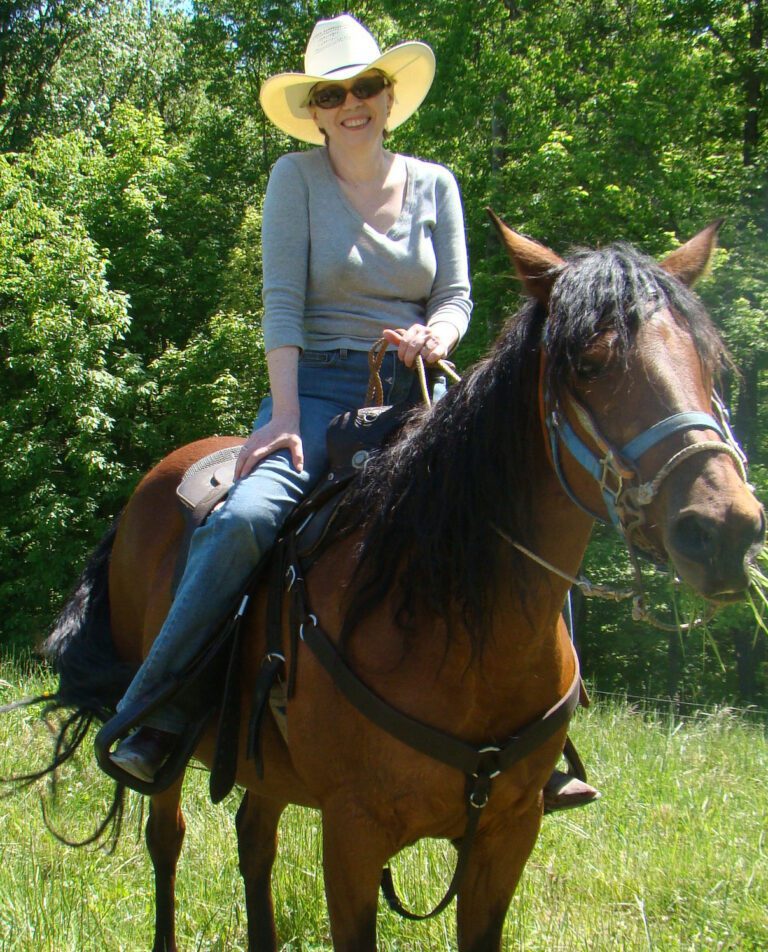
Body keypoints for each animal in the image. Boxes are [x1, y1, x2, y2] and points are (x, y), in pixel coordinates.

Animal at [22, 216, 760, 952]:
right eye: (589, 363)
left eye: (711, 366)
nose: (723, 529)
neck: (456, 623)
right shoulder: (353, 833)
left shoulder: (508, 834)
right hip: (167, 747)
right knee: (166, 839)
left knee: (254, 840)